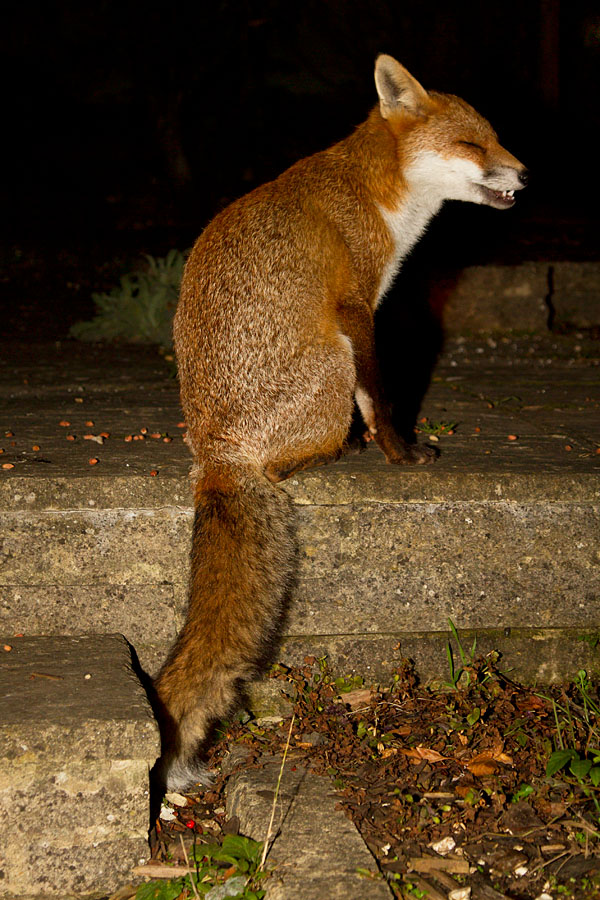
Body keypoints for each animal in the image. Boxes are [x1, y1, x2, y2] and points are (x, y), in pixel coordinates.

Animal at [154, 54, 527, 790]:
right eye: (472, 144)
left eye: (497, 138)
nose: (525, 173)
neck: (382, 198)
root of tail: (216, 453)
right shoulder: (357, 306)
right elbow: (380, 396)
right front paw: (398, 452)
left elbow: (376, 397)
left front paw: (384, 446)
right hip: (329, 357)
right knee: (291, 458)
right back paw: (335, 451)